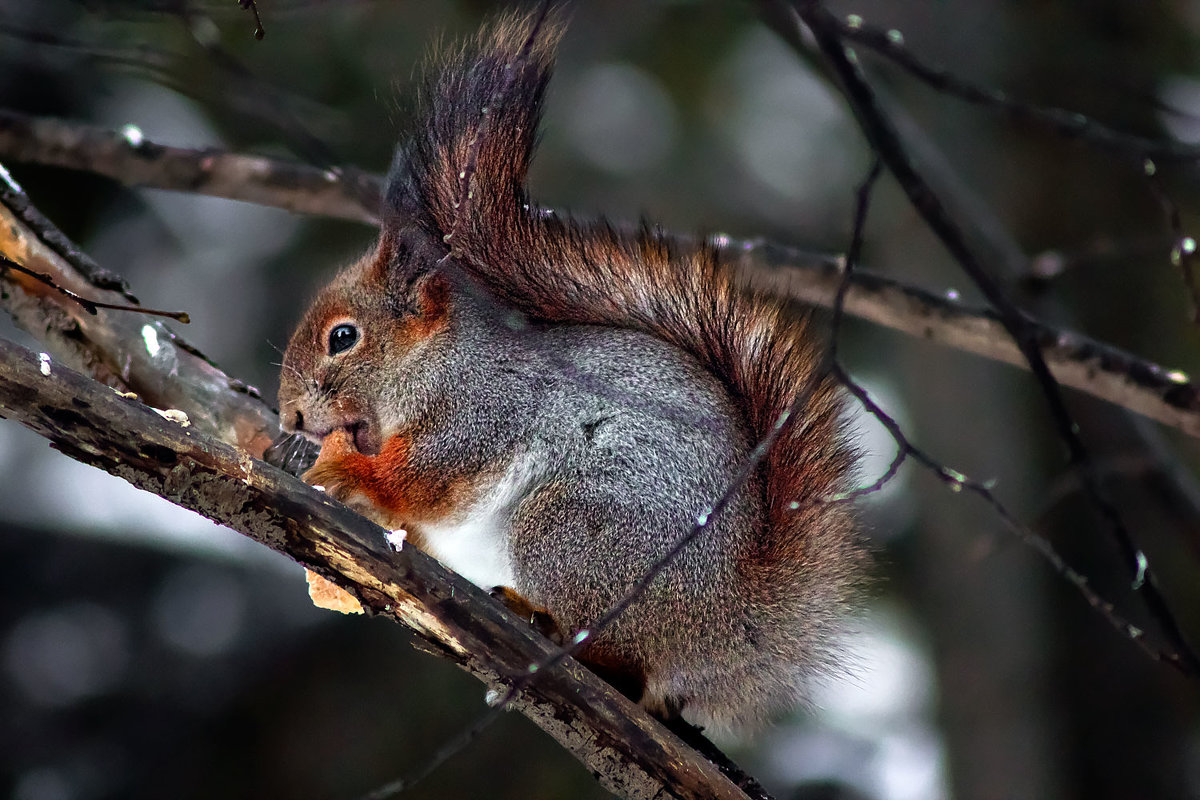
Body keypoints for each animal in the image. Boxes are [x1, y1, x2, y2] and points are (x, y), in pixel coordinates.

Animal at [278, 10, 864, 734]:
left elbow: (427, 478)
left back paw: (552, 628)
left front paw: (342, 470)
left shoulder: (484, 411)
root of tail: (725, 628)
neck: (433, 365)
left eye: (343, 337)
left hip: (568, 532)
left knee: (625, 664)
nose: (288, 415)